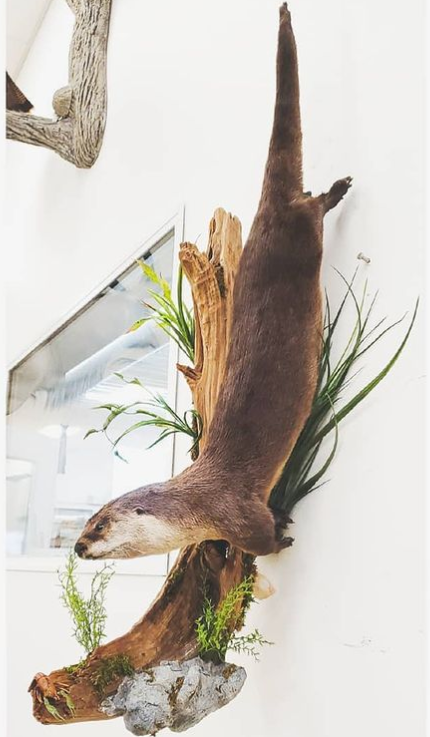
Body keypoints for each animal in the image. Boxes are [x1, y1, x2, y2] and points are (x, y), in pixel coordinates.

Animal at [75, 3, 351, 561]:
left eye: (99, 524)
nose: (74, 546)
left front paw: (284, 535)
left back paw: (338, 189)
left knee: (312, 205)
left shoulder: (238, 513)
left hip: (299, 234)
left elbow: (263, 539)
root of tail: (265, 212)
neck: (198, 507)